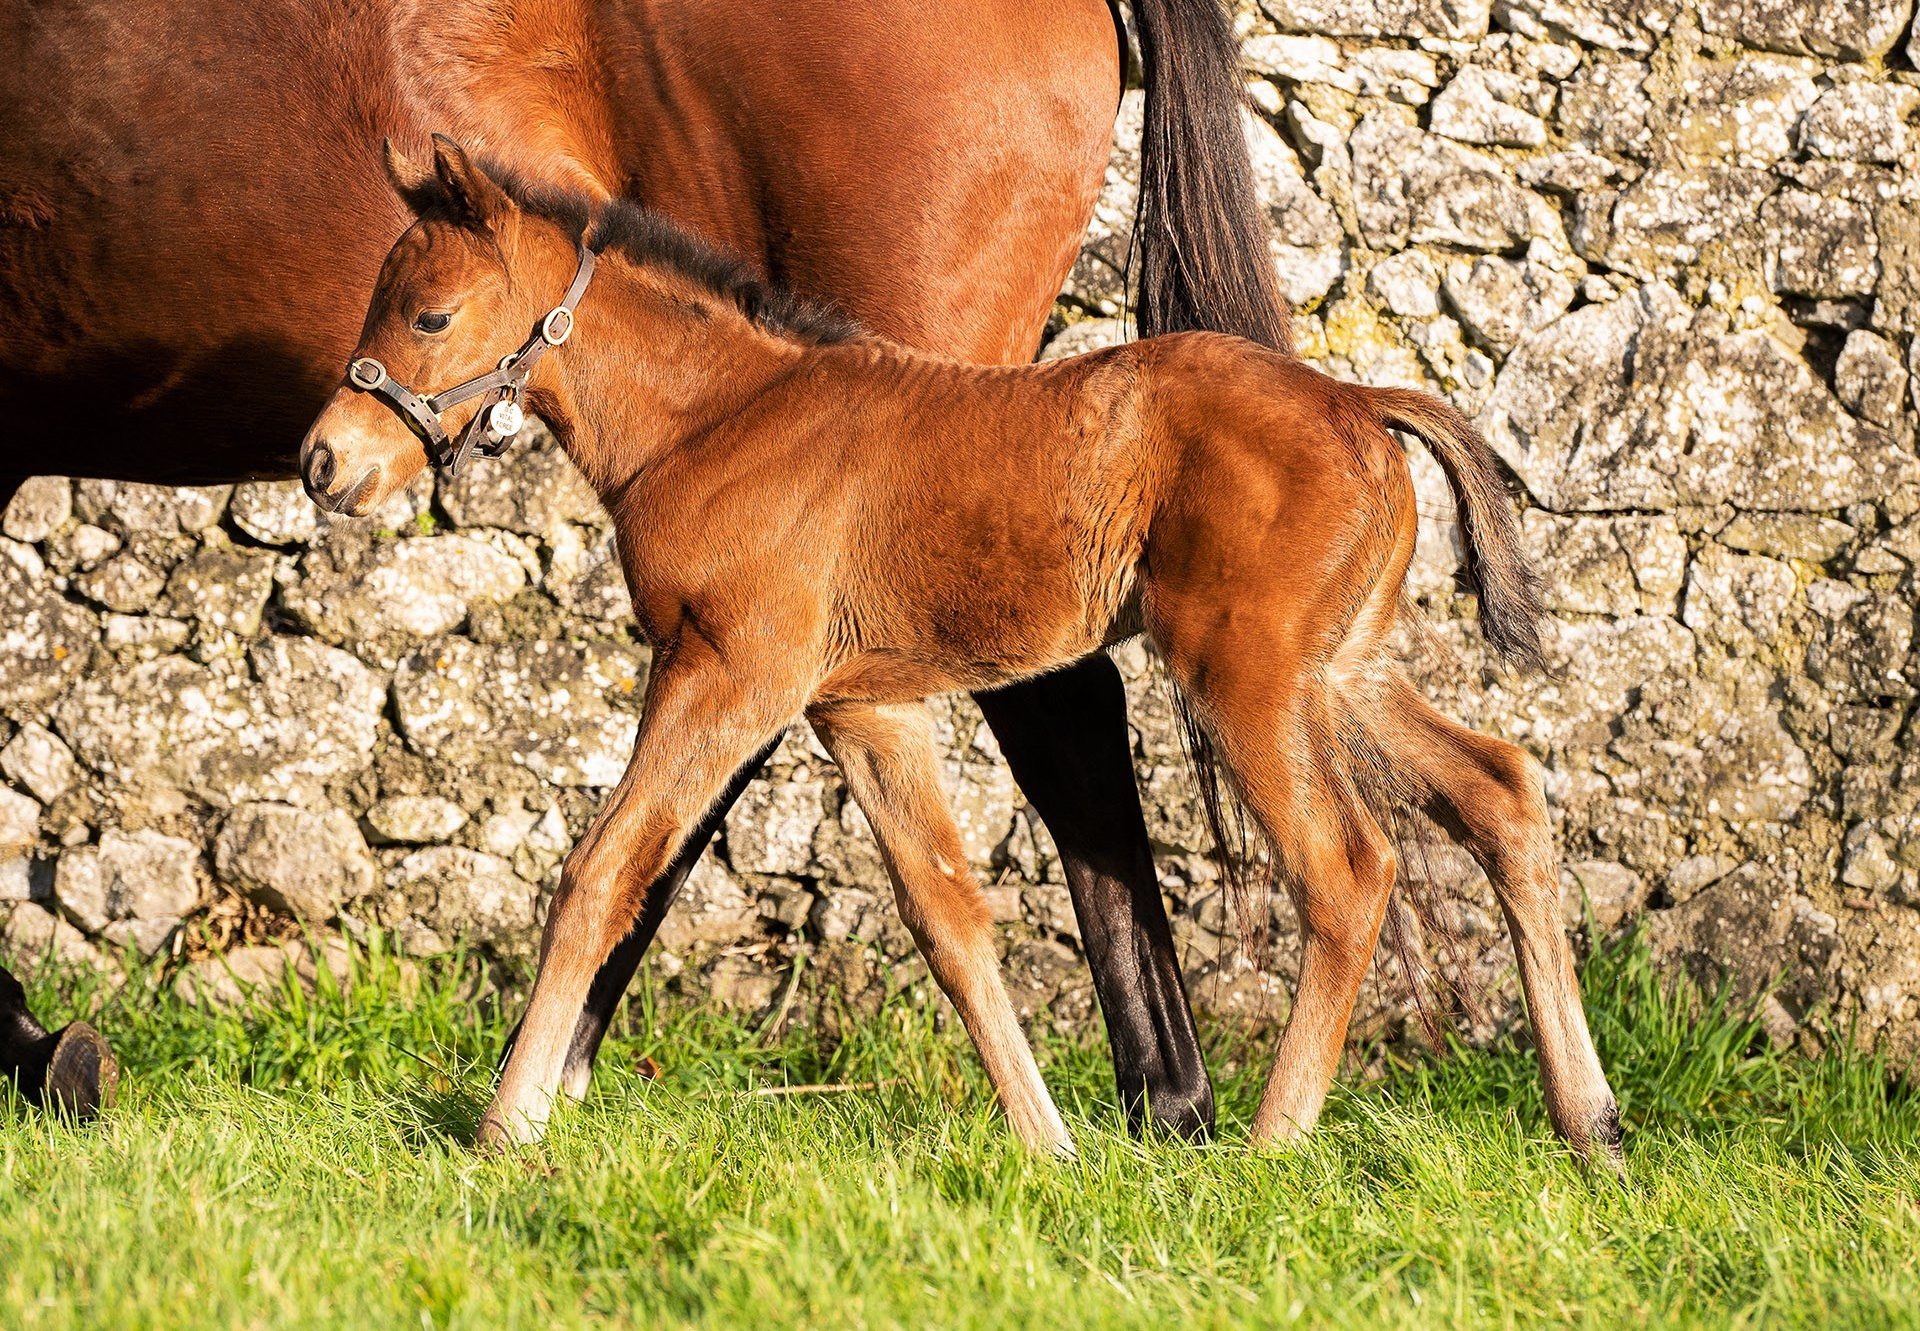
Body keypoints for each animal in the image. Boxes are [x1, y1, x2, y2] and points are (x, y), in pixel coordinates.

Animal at [3, 0, 1290, 1129]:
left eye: (429, 317)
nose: (323, 459)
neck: (708, 417)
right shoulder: (768, 659)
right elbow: (916, 886)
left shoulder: (730, 648)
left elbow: (602, 860)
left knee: (1056, 711)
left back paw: (1168, 1100)